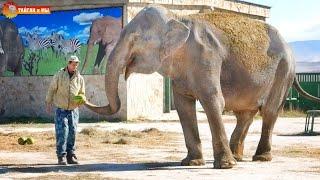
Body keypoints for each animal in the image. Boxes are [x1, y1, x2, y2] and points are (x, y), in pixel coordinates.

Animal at [83, 5, 320, 169]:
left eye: (134, 38)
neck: (178, 19)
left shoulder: (208, 57)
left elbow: (214, 101)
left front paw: (225, 166)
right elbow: (183, 107)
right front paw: (191, 163)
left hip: (284, 71)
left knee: (269, 111)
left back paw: (259, 158)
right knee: (245, 114)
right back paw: (238, 156)